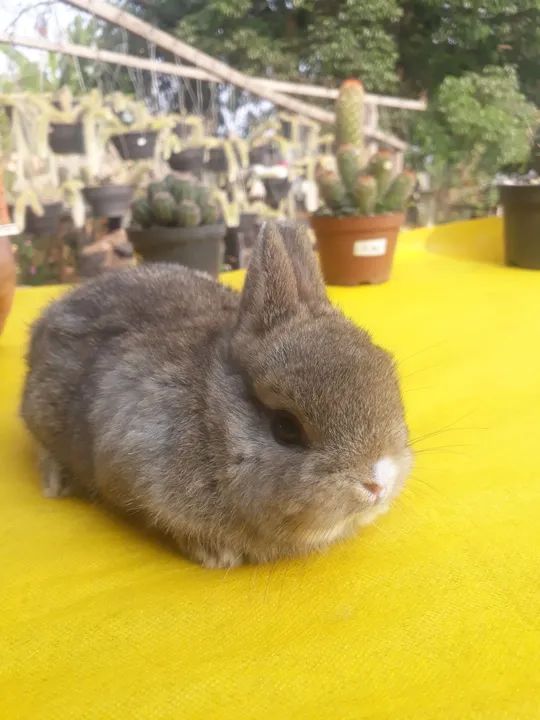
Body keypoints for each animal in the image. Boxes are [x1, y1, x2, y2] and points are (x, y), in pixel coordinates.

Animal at [21, 222, 412, 568]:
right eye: (286, 427)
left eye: (388, 376)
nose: (378, 483)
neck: (213, 418)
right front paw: (217, 557)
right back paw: (56, 484)